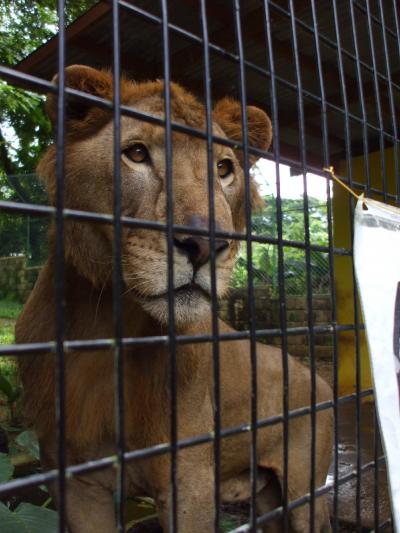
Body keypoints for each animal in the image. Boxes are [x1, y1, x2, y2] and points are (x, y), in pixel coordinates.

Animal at [15, 65, 332, 532]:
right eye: (136, 153)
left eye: (223, 168)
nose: (204, 244)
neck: (105, 329)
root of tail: (322, 380)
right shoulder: (75, 485)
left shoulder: (191, 483)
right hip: (268, 499)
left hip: (303, 494)